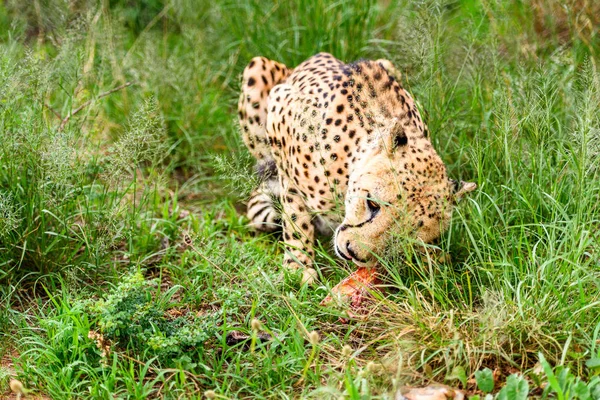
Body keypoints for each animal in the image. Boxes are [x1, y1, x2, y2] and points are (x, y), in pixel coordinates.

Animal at [237, 52, 476, 296]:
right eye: (372, 204)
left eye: (403, 236)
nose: (352, 252)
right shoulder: (280, 108)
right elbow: (295, 215)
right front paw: (298, 266)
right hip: (258, 69)